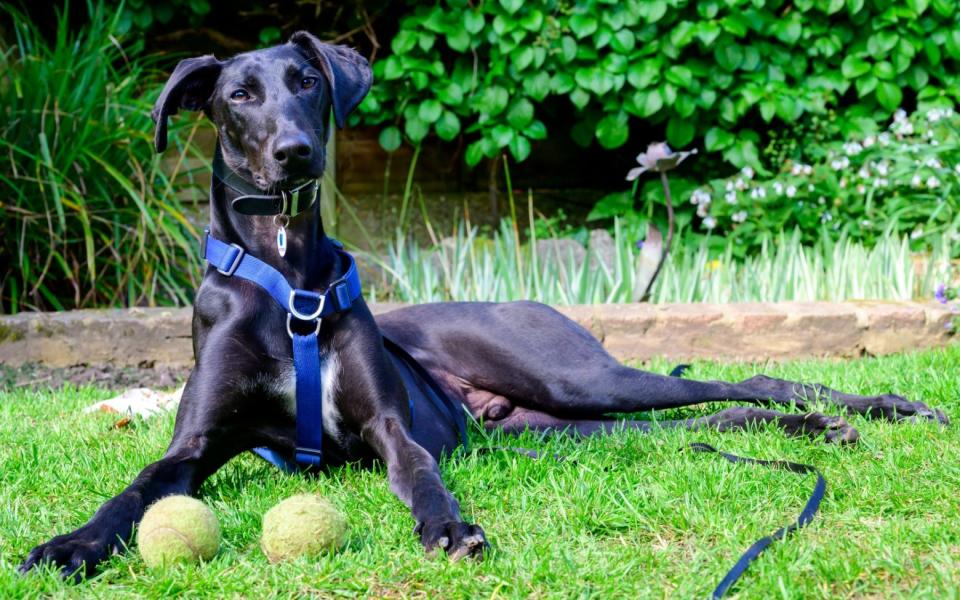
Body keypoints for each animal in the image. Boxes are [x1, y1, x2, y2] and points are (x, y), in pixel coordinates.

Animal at [18, 35, 948, 580]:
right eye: (238, 97)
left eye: (306, 80)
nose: (296, 152)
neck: (287, 278)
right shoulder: (196, 445)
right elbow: (137, 489)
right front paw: (74, 543)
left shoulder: (392, 430)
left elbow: (422, 475)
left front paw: (449, 528)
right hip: (560, 430)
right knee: (700, 425)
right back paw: (815, 431)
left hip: (573, 378)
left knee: (750, 379)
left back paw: (881, 407)